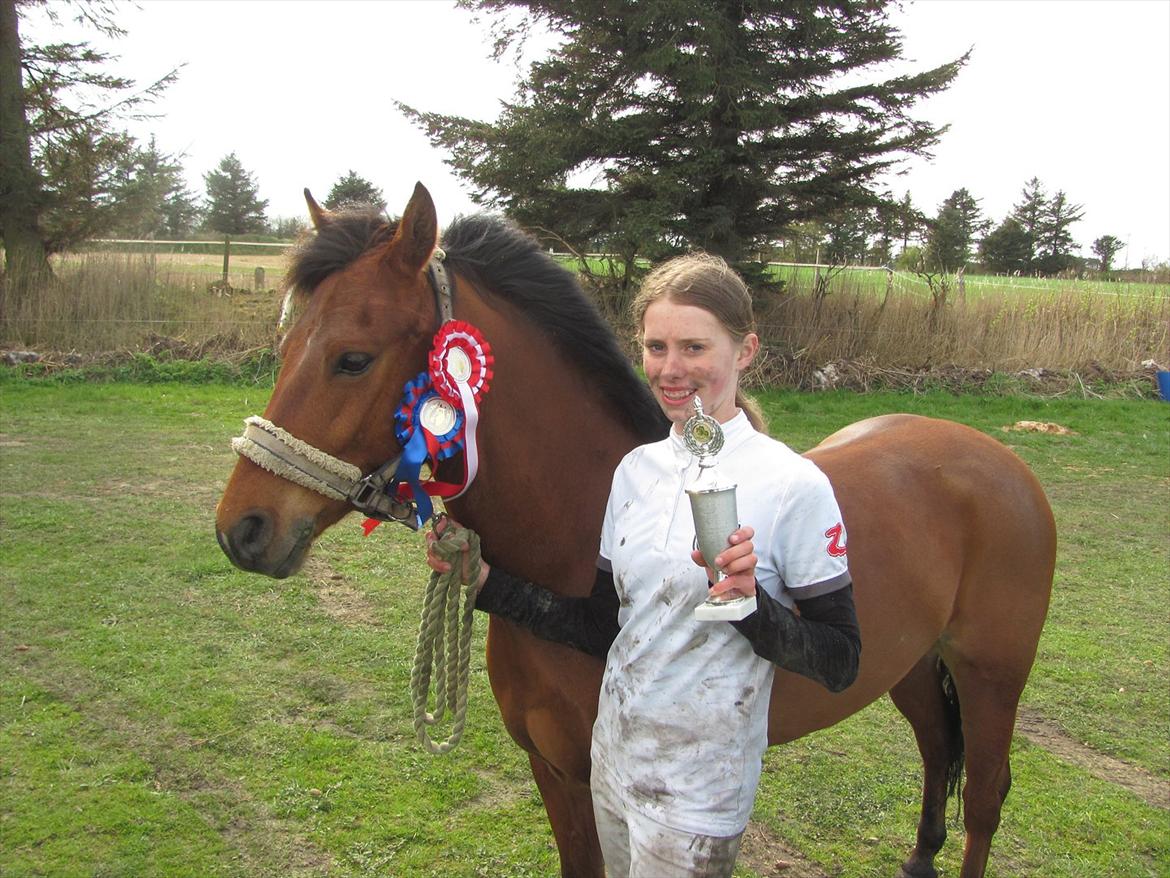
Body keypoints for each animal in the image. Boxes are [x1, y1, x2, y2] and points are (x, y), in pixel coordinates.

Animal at [215, 183, 1055, 878]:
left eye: (353, 358)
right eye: (287, 346)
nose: (242, 530)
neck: (570, 538)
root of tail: (999, 460)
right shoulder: (555, 774)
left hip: (991, 675)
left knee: (984, 794)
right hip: (910, 664)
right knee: (937, 751)